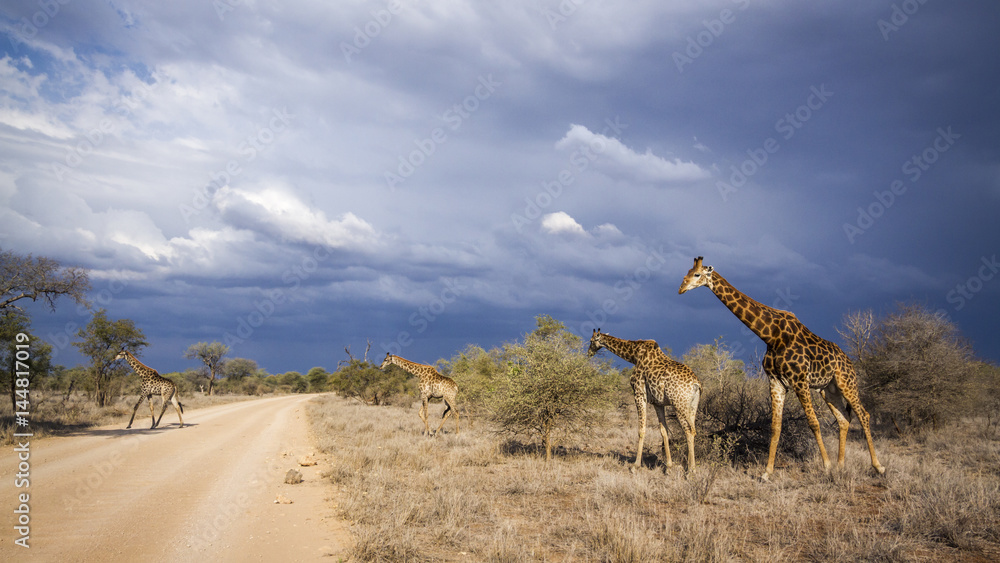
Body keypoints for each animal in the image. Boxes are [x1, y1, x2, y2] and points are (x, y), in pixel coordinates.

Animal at [588, 329, 701, 473]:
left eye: (591, 341)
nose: (589, 352)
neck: (634, 356)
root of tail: (696, 384)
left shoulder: (639, 394)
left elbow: (641, 430)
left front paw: (635, 465)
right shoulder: (658, 403)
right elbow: (664, 431)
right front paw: (669, 466)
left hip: (679, 405)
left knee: (688, 430)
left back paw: (691, 469)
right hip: (692, 406)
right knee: (693, 429)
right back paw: (690, 466)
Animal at [678, 256, 885, 479]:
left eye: (697, 274)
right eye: (687, 272)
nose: (681, 288)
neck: (771, 336)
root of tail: (849, 361)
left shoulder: (800, 380)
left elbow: (813, 422)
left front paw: (826, 465)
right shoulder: (776, 381)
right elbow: (775, 426)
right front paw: (767, 472)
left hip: (846, 381)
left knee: (863, 414)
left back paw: (877, 466)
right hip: (828, 390)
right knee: (844, 419)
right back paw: (841, 466)